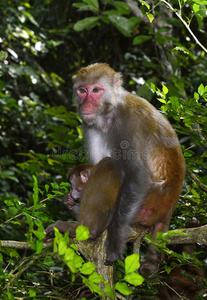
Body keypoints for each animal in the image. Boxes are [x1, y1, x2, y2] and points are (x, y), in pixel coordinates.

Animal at [73, 62, 186, 264]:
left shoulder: (128, 122)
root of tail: (167, 212)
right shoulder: (89, 125)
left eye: (96, 90)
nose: (86, 103)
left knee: (111, 167)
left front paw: (115, 238)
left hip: (149, 205)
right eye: (82, 90)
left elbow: (138, 175)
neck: (109, 112)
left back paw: (87, 229)